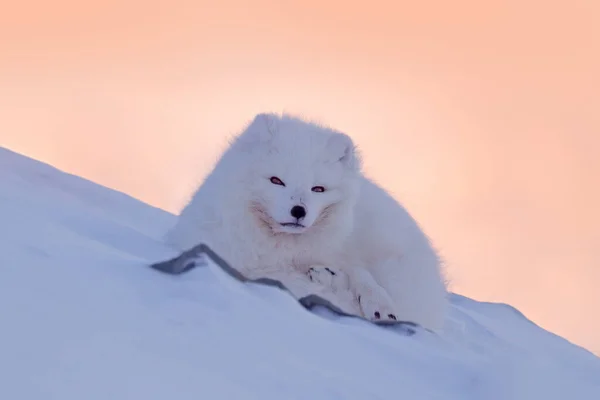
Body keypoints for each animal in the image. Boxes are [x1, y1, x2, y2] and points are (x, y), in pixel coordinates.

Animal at [164, 112, 446, 332]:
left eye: (318, 189)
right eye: (276, 180)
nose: (298, 210)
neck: (285, 249)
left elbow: (361, 276)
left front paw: (377, 304)